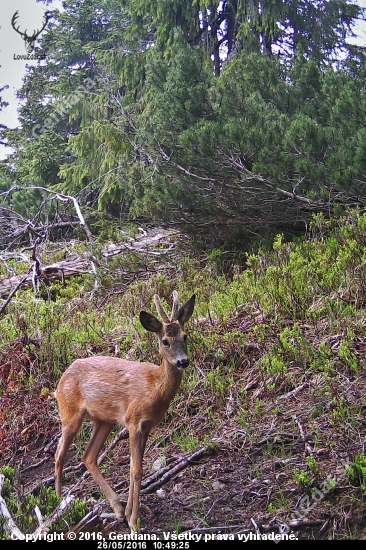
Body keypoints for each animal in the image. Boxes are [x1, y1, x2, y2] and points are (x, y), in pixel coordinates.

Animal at [53, 294, 194, 536]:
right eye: (165, 341)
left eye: (185, 336)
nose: (183, 361)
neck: (153, 387)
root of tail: (61, 378)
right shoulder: (133, 421)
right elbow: (136, 470)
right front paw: (135, 523)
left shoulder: (146, 426)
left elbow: (132, 469)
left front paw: (128, 515)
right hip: (70, 412)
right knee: (59, 453)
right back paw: (60, 503)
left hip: (104, 420)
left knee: (88, 456)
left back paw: (116, 508)